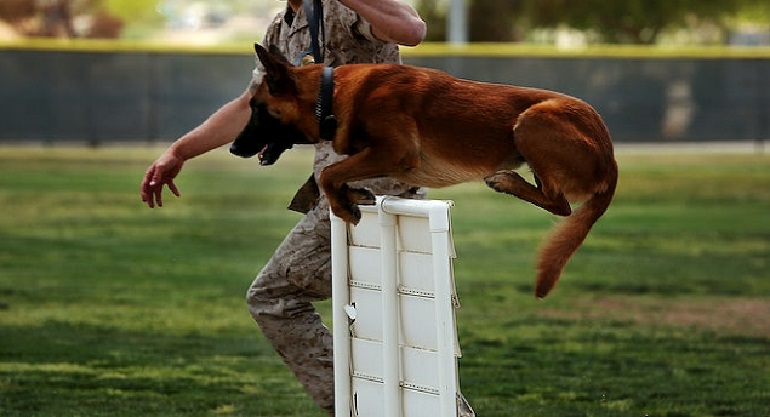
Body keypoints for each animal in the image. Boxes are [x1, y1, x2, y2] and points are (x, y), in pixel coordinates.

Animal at [249, 44, 616, 298]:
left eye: (256, 107)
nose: (238, 146)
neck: (332, 94)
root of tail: (611, 160)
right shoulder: (377, 155)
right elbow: (338, 173)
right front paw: (354, 195)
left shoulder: (396, 153)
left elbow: (329, 173)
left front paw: (343, 206)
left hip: (532, 122)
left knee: (561, 204)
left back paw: (506, 180)